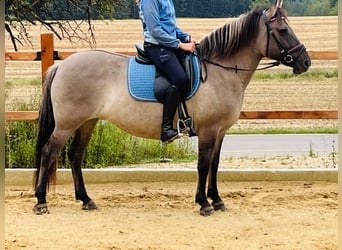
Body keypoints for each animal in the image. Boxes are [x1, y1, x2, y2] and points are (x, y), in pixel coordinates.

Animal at [34, 0, 310, 215]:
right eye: (283, 30)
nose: (305, 61)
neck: (220, 71)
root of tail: (62, 65)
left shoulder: (220, 132)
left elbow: (215, 165)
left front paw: (217, 200)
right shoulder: (208, 131)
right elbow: (203, 165)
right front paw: (204, 203)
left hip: (86, 122)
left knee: (75, 155)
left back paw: (86, 199)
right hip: (67, 123)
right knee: (49, 152)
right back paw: (41, 201)